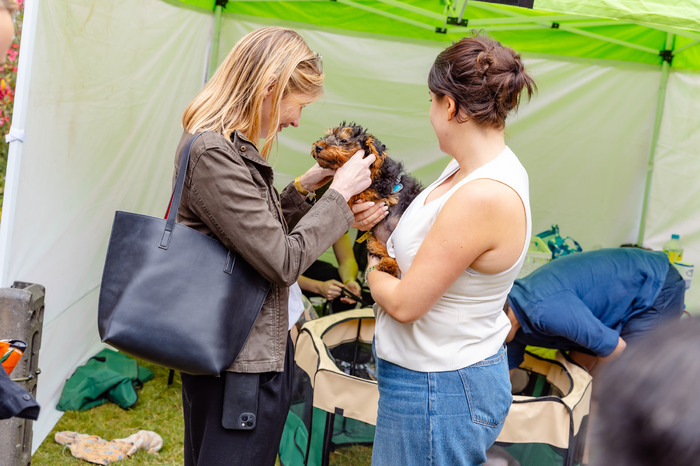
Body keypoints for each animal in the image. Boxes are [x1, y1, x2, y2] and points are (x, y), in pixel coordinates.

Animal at [314, 123, 424, 276]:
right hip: (374, 242)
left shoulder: (382, 186)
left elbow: (363, 192)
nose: (318, 147)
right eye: (327, 136)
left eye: (344, 140)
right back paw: (388, 265)